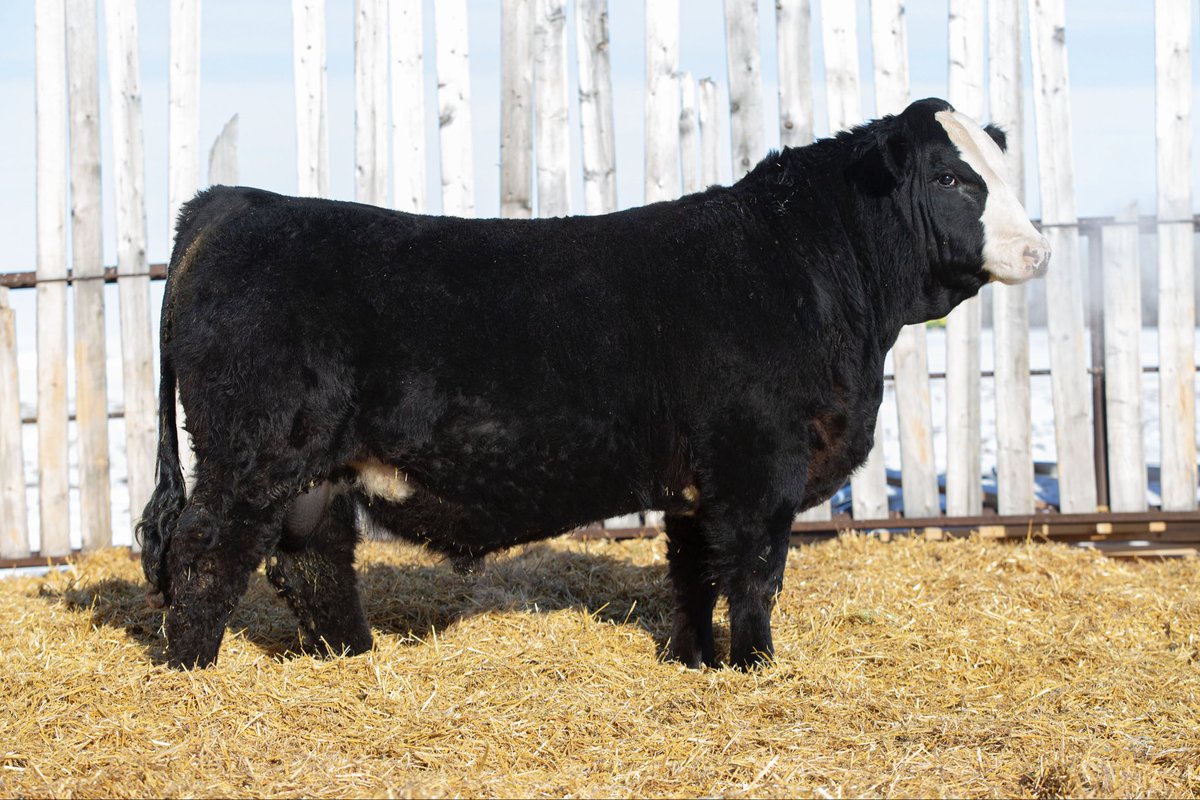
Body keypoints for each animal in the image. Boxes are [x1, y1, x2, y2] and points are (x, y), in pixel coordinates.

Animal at [138, 97, 1048, 670]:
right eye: (953, 179)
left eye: (1003, 170)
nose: (1038, 248)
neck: (811, 267)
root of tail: (232, 202)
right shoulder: (757, 468)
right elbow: (753, 575)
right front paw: (755, 667)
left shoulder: (698, 484)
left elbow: (693, 576)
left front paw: (697, 664)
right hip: (251, 454)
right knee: (204, 552)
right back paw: (192, 672)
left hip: (316, 467)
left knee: (311, 560)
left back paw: (350, 658)